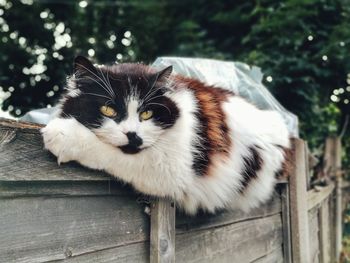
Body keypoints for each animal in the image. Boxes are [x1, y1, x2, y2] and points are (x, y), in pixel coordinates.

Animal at [41, 56, 290, 216]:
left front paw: (62, 134)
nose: (133, 136)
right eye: (108, 110)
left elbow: (107, 152)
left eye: (147, 113)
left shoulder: (172, 166)